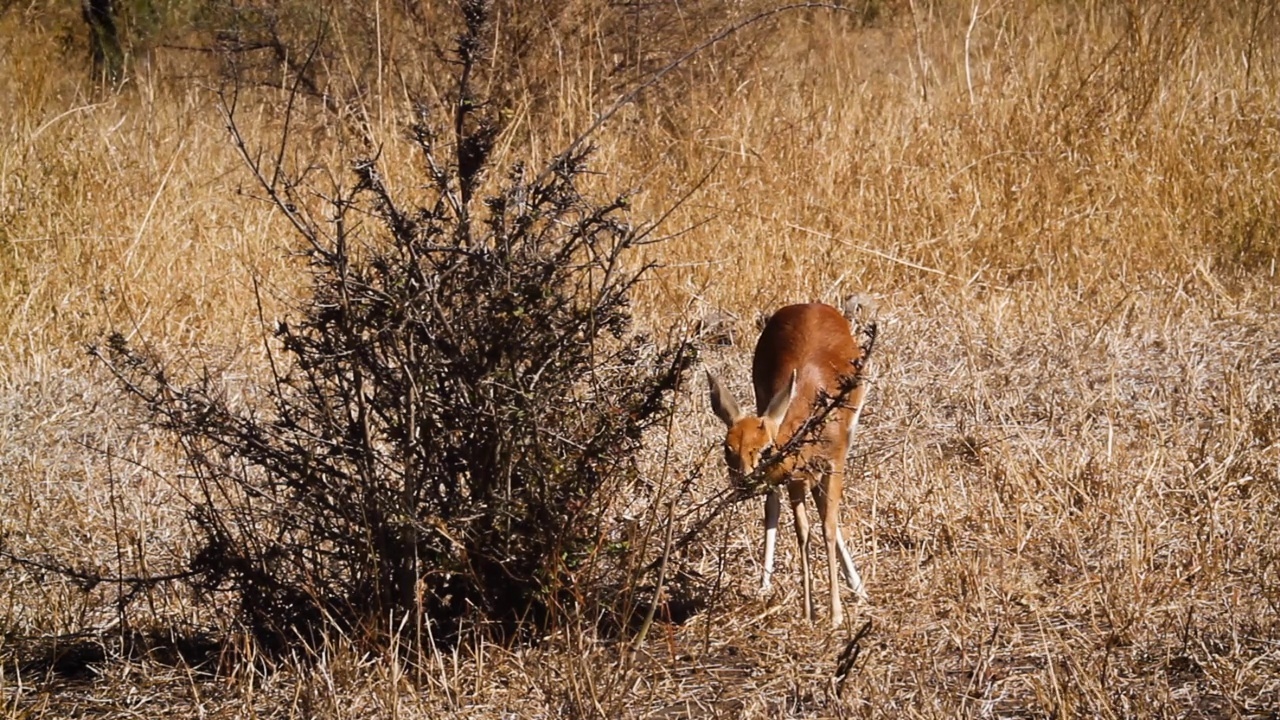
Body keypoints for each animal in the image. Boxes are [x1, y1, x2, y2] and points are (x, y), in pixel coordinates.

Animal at [706, 299, 875, 625]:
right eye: (727, 448)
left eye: (766, 449)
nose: (744, 482)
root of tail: (811, 304)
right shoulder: (795, 476)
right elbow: (803, 531)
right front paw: (810, 612)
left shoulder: (833, 464)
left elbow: (827, 527)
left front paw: (835, 615)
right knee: (774, 505)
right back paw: (764, 585)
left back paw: (858, 588)